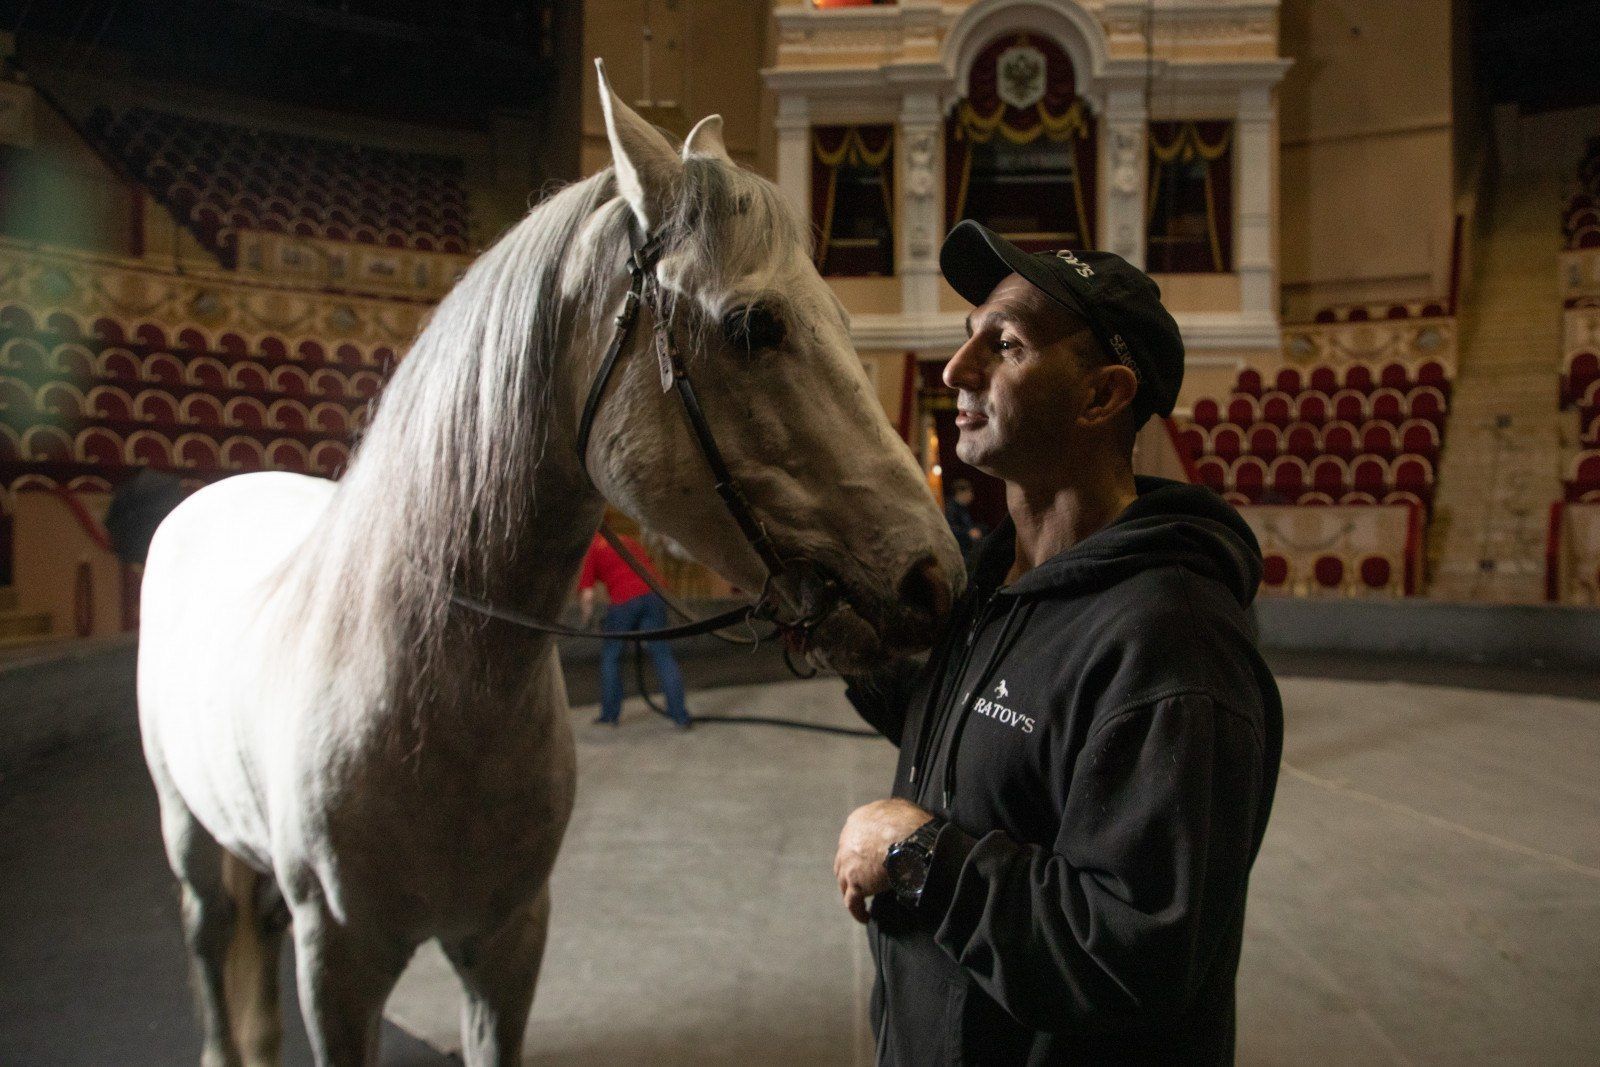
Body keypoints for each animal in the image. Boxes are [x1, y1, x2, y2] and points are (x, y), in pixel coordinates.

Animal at [137, 66, 953, 1067]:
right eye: (754, 326)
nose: (936, 576)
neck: (427, 688)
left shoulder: (508, 942)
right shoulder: (336, 969)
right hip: (186, 835)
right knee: (210, 937)